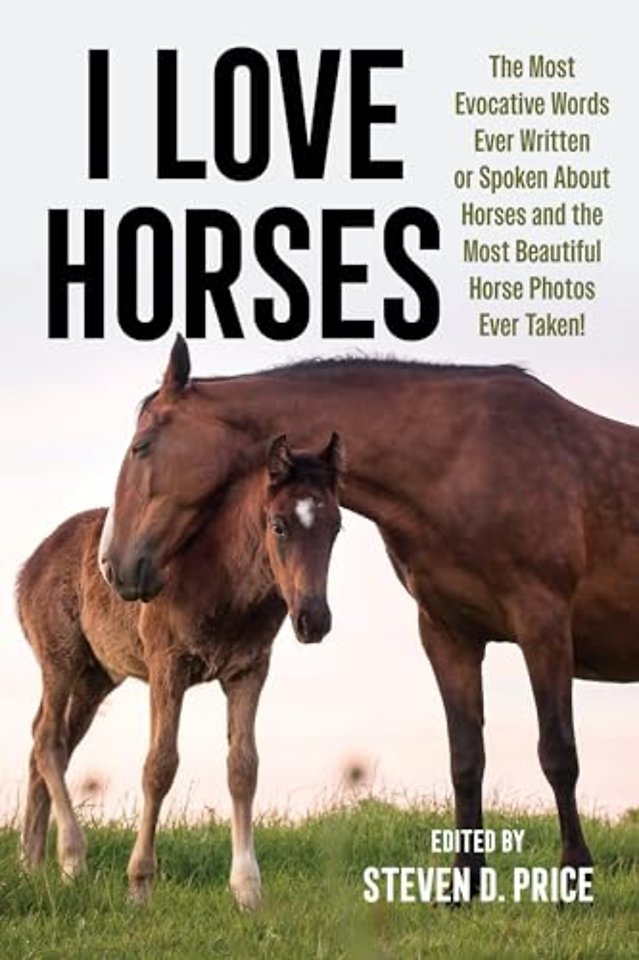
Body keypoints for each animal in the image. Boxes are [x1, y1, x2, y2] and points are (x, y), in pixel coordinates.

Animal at [17, 432, 344, 906]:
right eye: (278, 525)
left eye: (336, 527)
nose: (313, 620)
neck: (222, 576)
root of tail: (29, 566)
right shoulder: (167, 665)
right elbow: (159, 766)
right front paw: (139, 885)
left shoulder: (248, 670)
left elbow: (243, 767)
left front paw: (248, 890)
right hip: (61, 659)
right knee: (48, 740)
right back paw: (72, 858)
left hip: (96, 678)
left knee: (48, 741)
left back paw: (33, 863)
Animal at [102, 336, 638, 892]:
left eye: (142, 446)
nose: (113, 564)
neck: (467, 461)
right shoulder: (448, 635)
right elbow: (466, 759)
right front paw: (462, 888)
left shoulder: (544, 625)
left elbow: (558, 754)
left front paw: (574, 879)